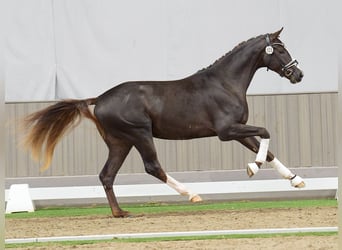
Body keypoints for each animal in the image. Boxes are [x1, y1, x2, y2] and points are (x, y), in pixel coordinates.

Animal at [22, 28, 304, 217]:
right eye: (280, 49)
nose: (298, 74)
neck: (225, 83)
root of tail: (100, 99)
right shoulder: (226, 131)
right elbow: (265, 134)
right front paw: (252, 167)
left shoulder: (238, 130)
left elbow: (267, 149)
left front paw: (296, 179)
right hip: (139, 134)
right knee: (152, 167)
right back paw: (192, 195)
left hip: (120, 142)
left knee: (107, 175)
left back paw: (120, 213)